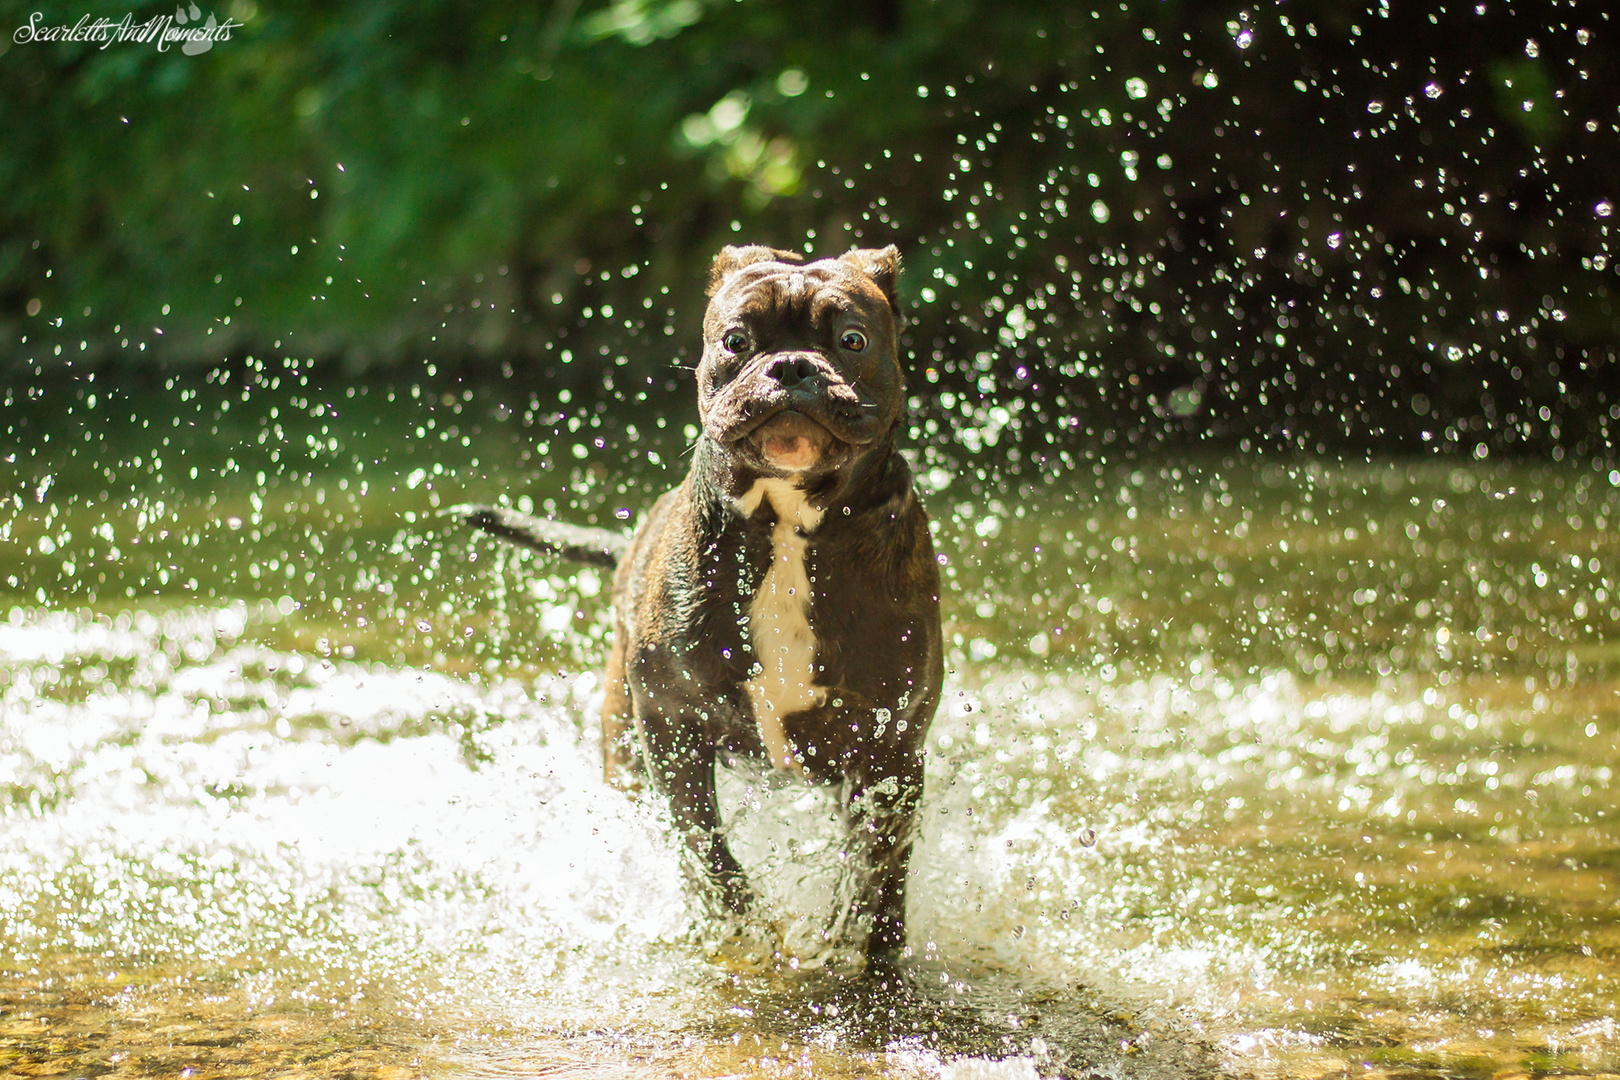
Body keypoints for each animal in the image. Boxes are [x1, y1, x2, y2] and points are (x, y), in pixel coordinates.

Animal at [453, 247, 939, 965]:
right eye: (736, 340)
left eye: (852, 340)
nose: (791, 366)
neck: (787, 522)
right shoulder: (669, 723)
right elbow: (701, 842)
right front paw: (738, 923)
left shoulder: (892, 745)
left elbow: (875, 863)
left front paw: (851, 937)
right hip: (623, 738)